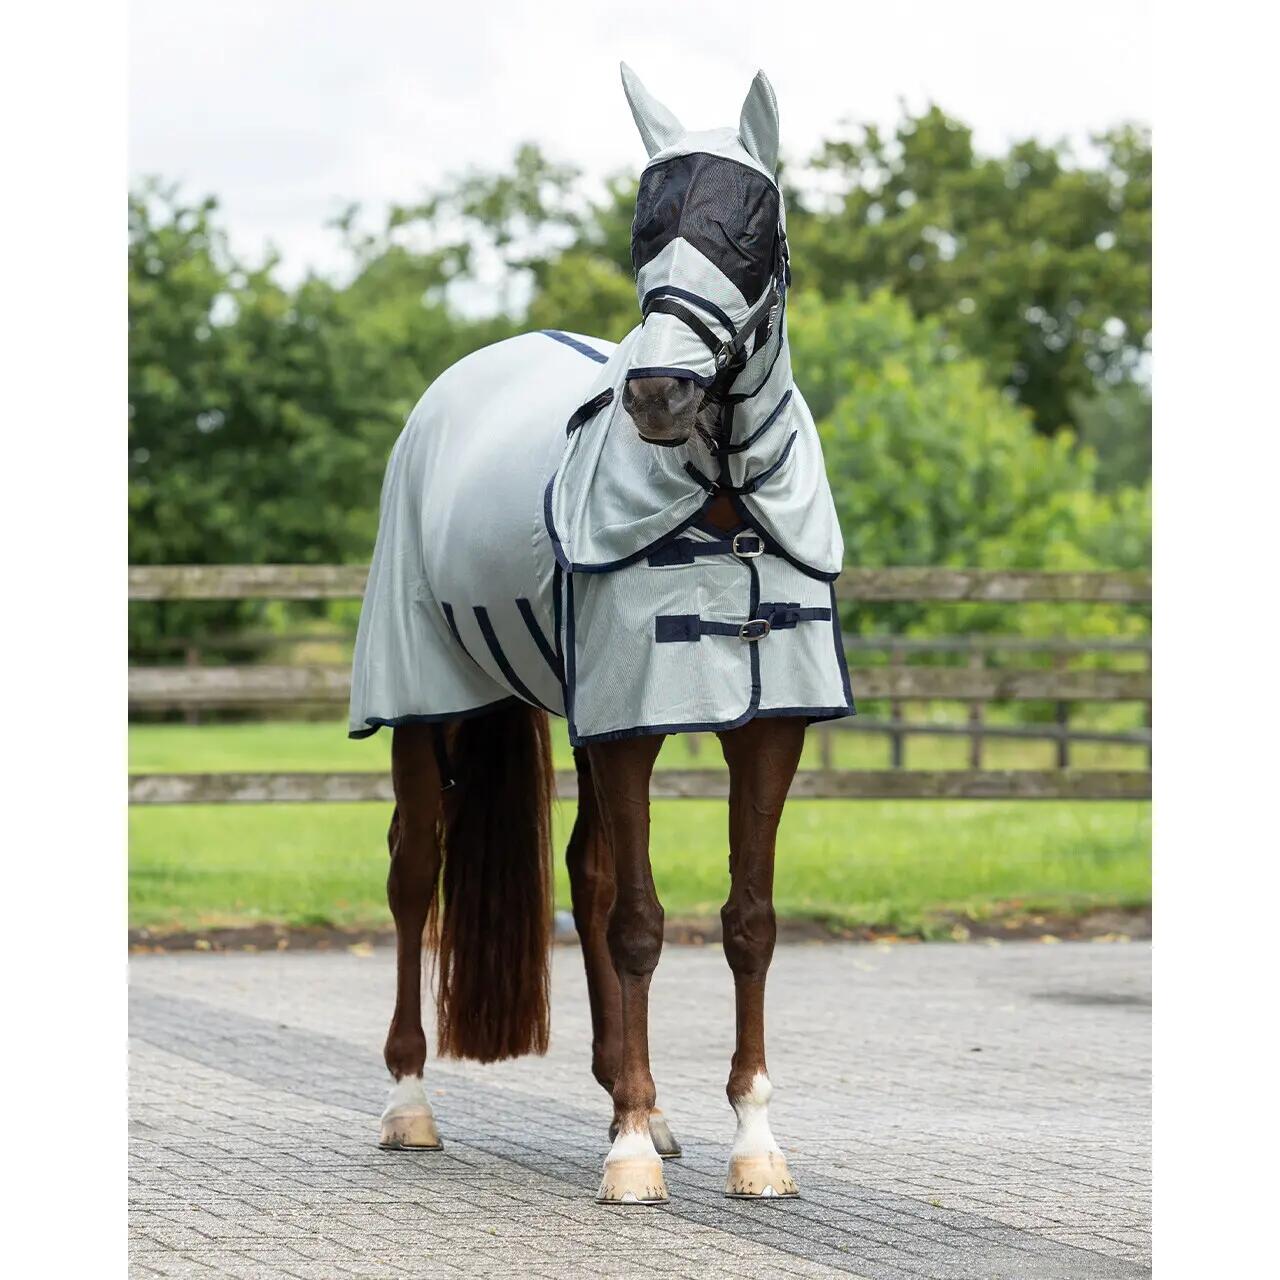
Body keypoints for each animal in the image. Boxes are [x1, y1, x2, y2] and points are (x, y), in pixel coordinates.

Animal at [349, 64, 854, 1205]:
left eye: (749, 229)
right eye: (643, 228)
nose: (658, 393)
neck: (720, 502)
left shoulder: (763, 725)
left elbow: (746, 922)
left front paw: (749, 1139)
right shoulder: (631, 718)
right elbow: (636, 920)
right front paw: (626, 1156)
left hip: (583, 712)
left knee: (584, 867)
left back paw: (643, 1100)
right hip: (428, 700)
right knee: (413, 870)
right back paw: (410, 1102)